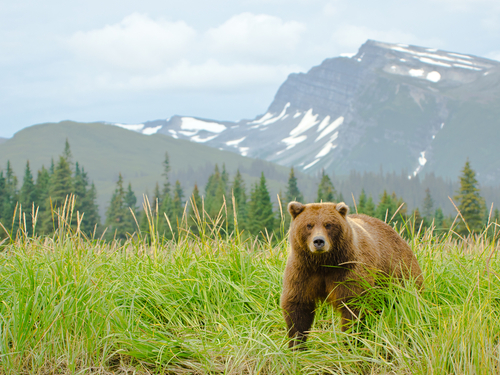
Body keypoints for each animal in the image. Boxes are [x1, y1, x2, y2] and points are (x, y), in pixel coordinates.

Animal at [282, 201, 422, 352]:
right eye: (309, 225)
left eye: (328, 224)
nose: (318, 241)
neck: (324, 264)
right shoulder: (302, 271)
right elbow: (298, 307)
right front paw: (296, 345)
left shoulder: (349, 271)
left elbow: (353, 306)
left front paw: (350, 341)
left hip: (399, 274)